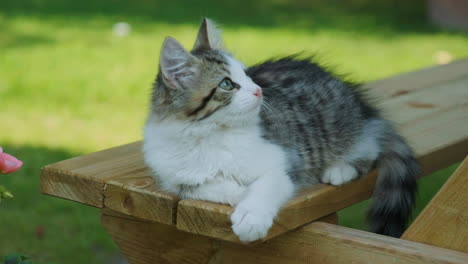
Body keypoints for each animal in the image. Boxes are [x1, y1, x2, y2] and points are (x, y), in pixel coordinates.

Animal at [144, 18, 420, 241]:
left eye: (246, 75)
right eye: (227, 84)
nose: (258, 90)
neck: (209, 134)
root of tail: (359, 102)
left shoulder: (286, 160)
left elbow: (266, 186)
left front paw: (251, 217)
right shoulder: (174, 177)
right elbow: (203, 186)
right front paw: (238, 192)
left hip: (342, 126)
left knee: (370, 147)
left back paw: (339, 169)